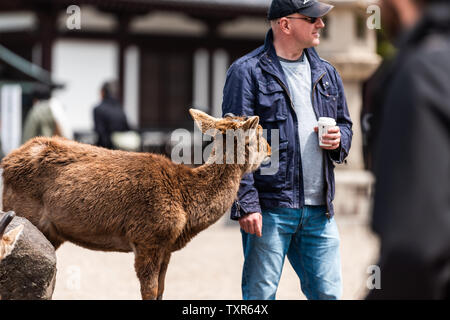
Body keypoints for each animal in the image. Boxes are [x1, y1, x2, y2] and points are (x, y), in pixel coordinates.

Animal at [0, 109, 270, 298]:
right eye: (259, 133)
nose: (269, 150)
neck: (185, 204)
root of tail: (7, 161)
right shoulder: (147, 237)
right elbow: (149, 291)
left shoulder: (165, 246)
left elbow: (162, 289)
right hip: (23, 213)